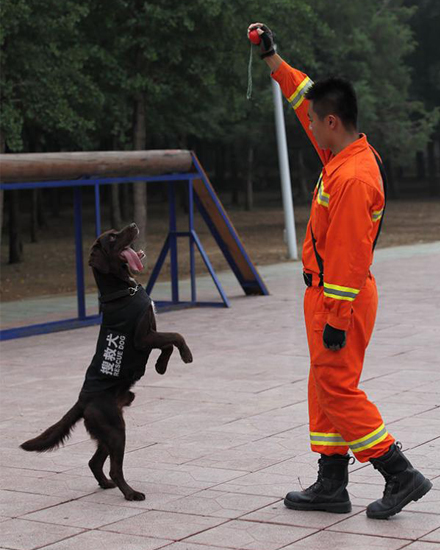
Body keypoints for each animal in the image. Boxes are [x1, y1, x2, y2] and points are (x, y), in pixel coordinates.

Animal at [21, 223, 193, 501]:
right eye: (112, 237)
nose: (133, 225)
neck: (123, 289)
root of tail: (83, 401)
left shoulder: (150, 335)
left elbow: (167, 343)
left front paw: (160, 366)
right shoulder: (143, 337)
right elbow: (176, 336)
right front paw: (186, 355)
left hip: (109, 432)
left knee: (95, 462)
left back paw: (106, 484)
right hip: (115, 429)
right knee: (114, 468)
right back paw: (131, 493)